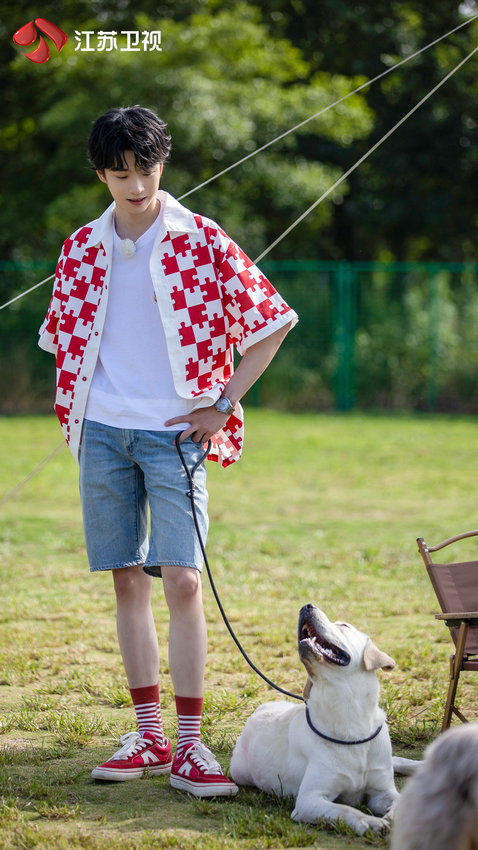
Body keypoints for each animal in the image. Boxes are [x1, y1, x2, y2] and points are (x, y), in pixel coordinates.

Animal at [230, 603, 418, 836]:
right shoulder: (309, 800)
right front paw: (371, 822)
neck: (350, 716)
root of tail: (261, 708)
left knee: (395, 760)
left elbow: (399, 801)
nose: (306, 606)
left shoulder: (382, 791)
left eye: (344, 625)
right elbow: (346, 810)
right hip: (239, 772)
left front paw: (395, 816)